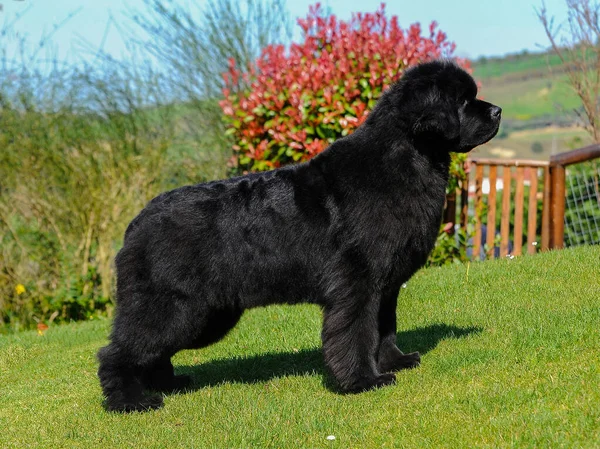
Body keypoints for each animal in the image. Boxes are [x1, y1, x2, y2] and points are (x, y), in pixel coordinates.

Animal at [99, 59, 502, 410]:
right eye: (462, 101)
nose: (497, 111)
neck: (410, 156)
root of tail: (136, 223)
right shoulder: (357, 281)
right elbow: (358, 331)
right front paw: (363, 381)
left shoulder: (385, 285)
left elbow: (385, 327)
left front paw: (394, 362)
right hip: (171, 305)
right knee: (119, 351)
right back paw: (131, 401)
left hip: (204, 314)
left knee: (153, 352)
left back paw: (168, 384)